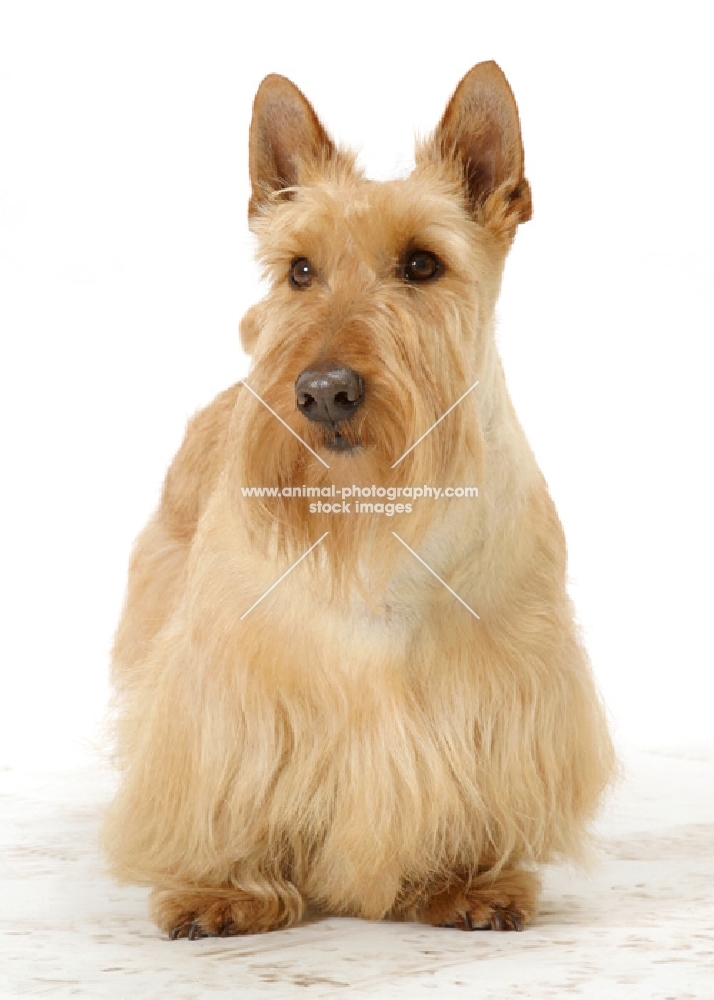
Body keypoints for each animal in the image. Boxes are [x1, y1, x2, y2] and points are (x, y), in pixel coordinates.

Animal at [103, 60, 616, 936]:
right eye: (300, 270)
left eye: (422, 264)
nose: (323, 391)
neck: (376, 522)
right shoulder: (227, 696)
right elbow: (221, 789)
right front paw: (225, 887)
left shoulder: (508, 691)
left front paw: (466, 878)